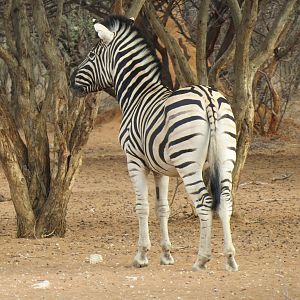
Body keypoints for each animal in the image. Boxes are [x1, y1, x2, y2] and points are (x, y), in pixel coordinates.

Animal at [70, 14, 239, 272]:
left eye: (91, 55)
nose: (70, 81)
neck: (136, 95)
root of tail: (208, 98)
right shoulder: (161, 169)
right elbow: (162, 208)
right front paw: (166, 254)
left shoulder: (134, 161)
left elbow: (142, 206)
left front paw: (141, 255)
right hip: (226, 158)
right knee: (226, 201)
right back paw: (229, 258)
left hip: (188, 163)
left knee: (204, 202)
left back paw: (201, 258)